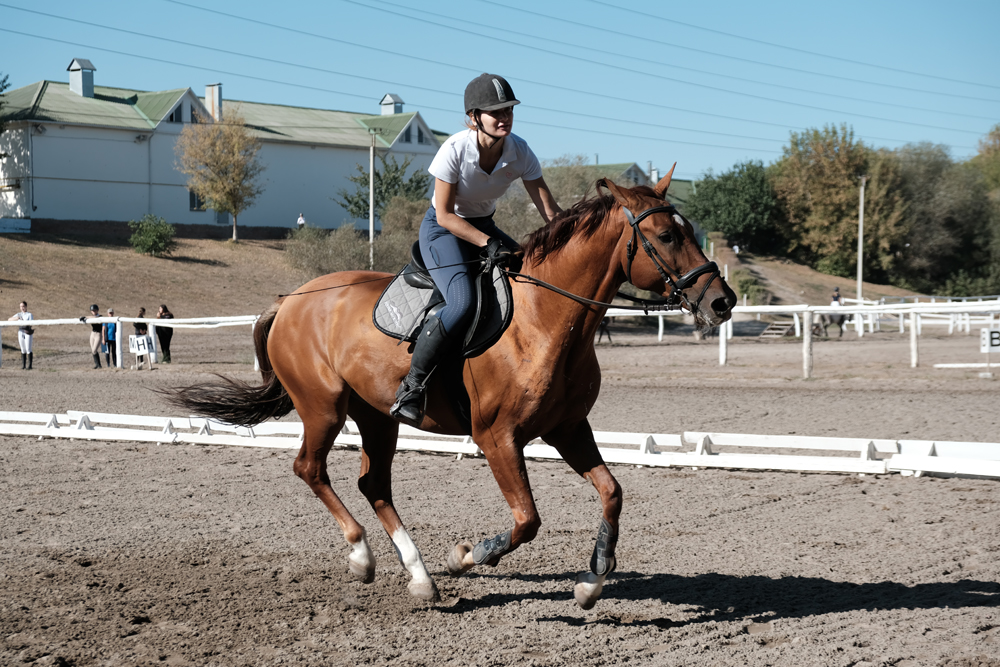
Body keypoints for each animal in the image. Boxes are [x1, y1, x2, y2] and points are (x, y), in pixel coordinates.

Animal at [166, 171, 736, 612]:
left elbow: (612, 492)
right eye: (666, 236)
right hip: (323, 407)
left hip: (378, 417)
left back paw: (420, 578)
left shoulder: (567, 429)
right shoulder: (497, 438)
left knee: (373, 484)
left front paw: (592, 582)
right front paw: (468, 556)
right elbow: (527, 520)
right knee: (310, 468)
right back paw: (363, 557)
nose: (722, 302)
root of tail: (289, 300)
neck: (546, 320)